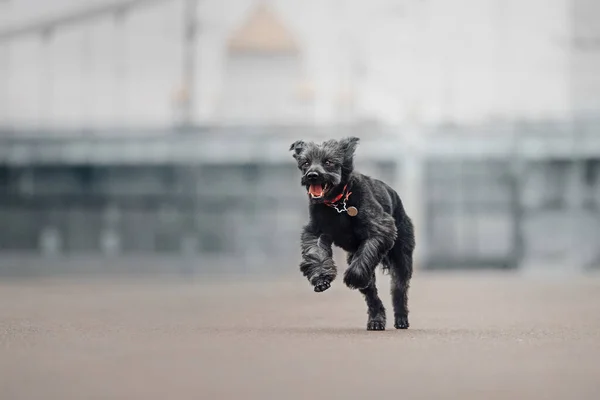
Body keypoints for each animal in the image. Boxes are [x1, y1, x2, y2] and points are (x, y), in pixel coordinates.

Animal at [290, 136, 412, 330]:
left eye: (328, 162)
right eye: (306, 162)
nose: (312, 175)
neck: (338, 204)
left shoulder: (380, 229)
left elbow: (367, 252)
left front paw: (353, 276)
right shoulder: (315, 232)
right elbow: (316, 254)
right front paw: (321, 279)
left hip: (401, 257)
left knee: (399, 288)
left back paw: (400, 318)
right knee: (372, 295)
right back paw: (376, 320)